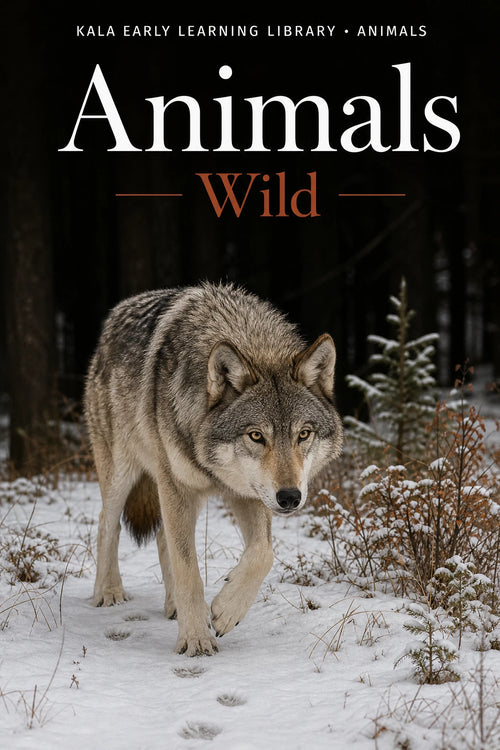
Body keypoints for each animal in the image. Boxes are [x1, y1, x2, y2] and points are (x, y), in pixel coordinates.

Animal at [84, 282, 343, 656]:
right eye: (256, 435)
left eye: (303, 434)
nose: (290, 497)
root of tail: (114, 318)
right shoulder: (176, 485)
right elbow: (189, 570)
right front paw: (195, 639)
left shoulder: (248, 493)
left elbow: (263, 553)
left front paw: (225, 610)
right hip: (125, 473)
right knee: (108, 523)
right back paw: (108, 591)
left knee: (161, 535)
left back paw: (173, 606)